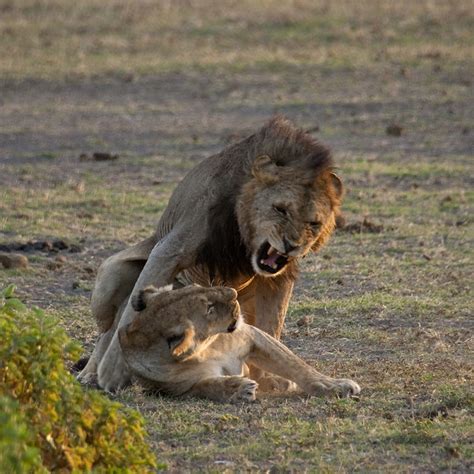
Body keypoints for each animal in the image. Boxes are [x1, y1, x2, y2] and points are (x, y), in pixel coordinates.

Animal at [79, 116, 342, 390]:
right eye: (280, 209)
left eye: (313, 223)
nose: (291, 244)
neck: (244, 241)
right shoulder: (169, 251)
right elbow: (128, 315)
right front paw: (111, 371)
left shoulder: (279, 278)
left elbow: (273, 325)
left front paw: (270, 378)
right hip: (107, 282)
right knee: (109, 325)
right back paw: (89, 373)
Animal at [118, 284, 360, 402]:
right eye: (209, 308)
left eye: (197, 285)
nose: (233, 292)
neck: (207, 349)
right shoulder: (175, 390)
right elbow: (208, 386)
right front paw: (239, 388)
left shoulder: (252, 336)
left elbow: (296, 365)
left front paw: (331, 385)